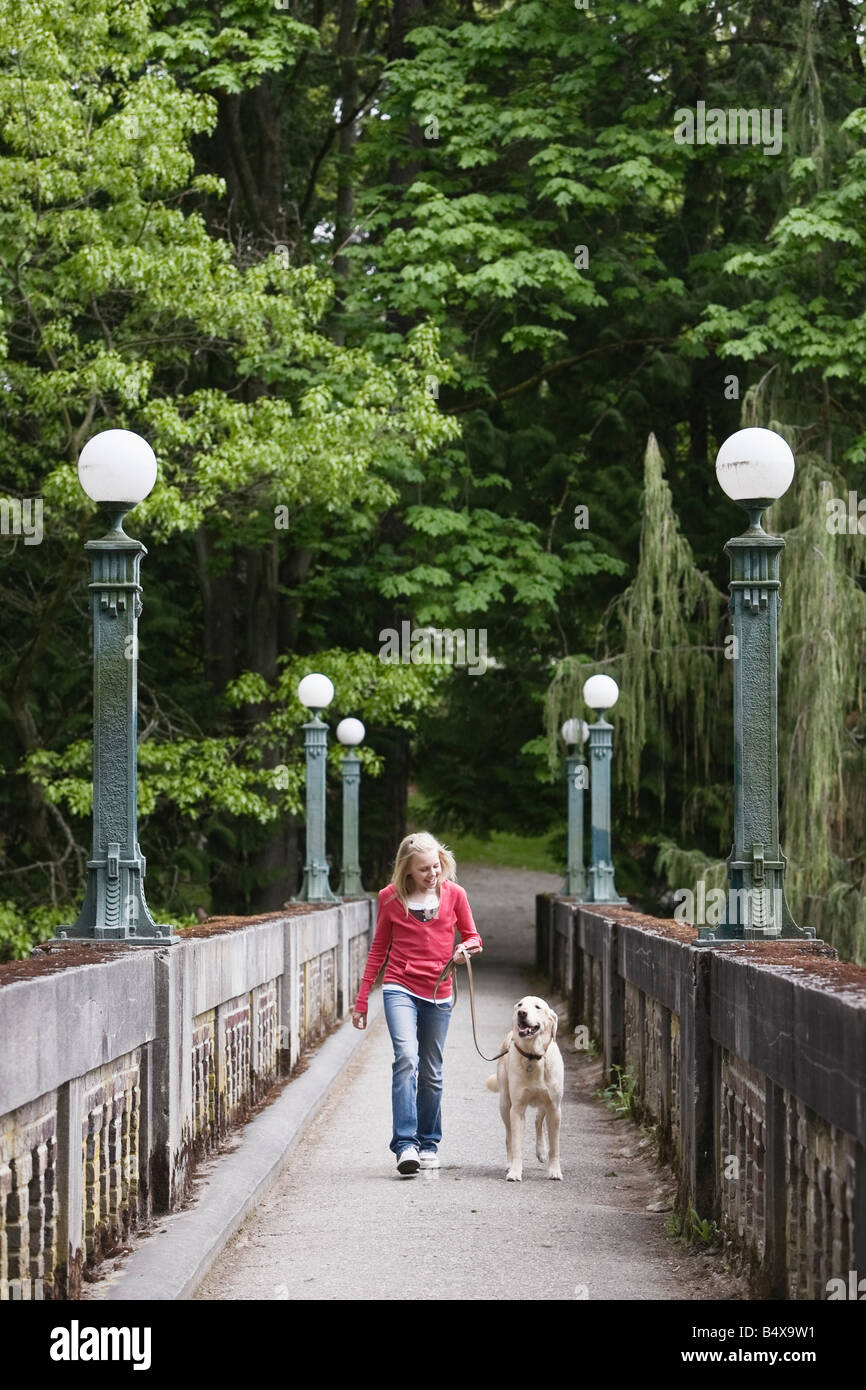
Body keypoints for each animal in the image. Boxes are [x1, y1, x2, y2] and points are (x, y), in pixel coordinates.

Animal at [483, 995, 567, 1178]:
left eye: (537, 1007)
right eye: (520, 1005)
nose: (521, 1013)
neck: (532, 1057)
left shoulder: (555, 1108)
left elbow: (555, 1146)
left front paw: (554, 1170)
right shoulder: (517, 1108)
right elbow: (516, 1144)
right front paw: (515, 1171)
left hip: (545, 1102)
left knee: (538, 1120)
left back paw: (541, 1151)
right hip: (505, 1104)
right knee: (509, 1136)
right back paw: (509, 1163)